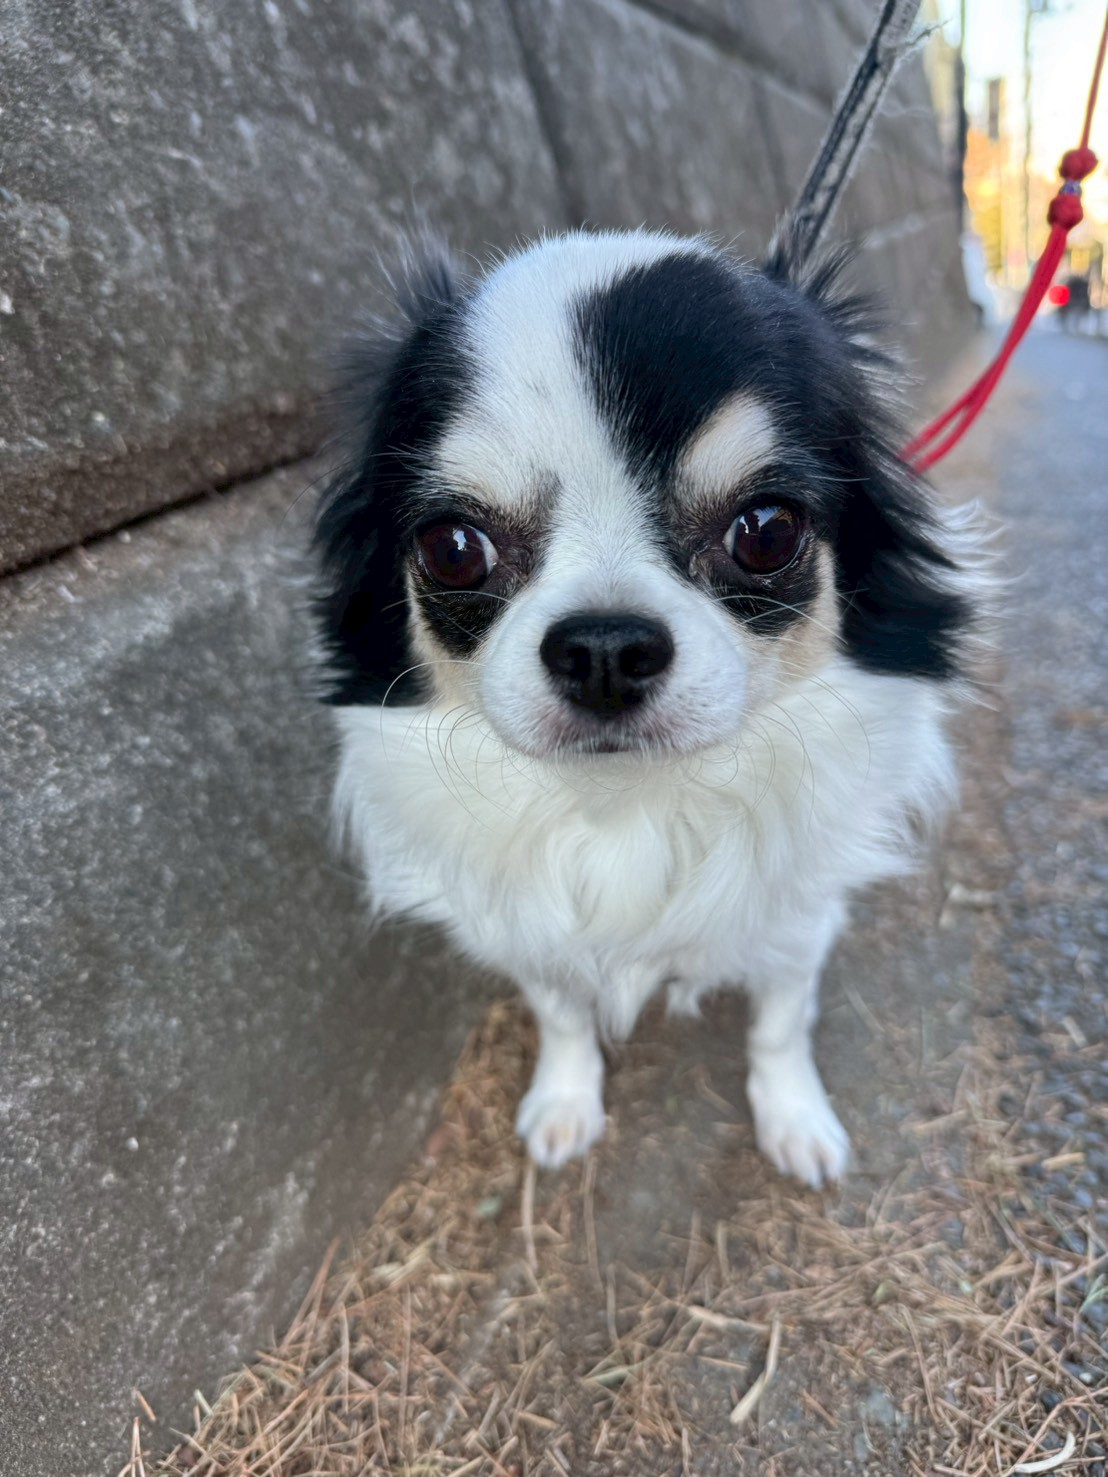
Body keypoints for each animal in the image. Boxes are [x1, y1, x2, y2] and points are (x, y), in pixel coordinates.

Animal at [311, 229, 978, 1187]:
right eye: (453, 549)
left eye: (766, 530)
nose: (603, 647)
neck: (629, 804)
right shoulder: (530, 925)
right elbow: (560, 1013)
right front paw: (564, 1101)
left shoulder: (794, 917)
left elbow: (781, 1022)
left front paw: (794, 1117)